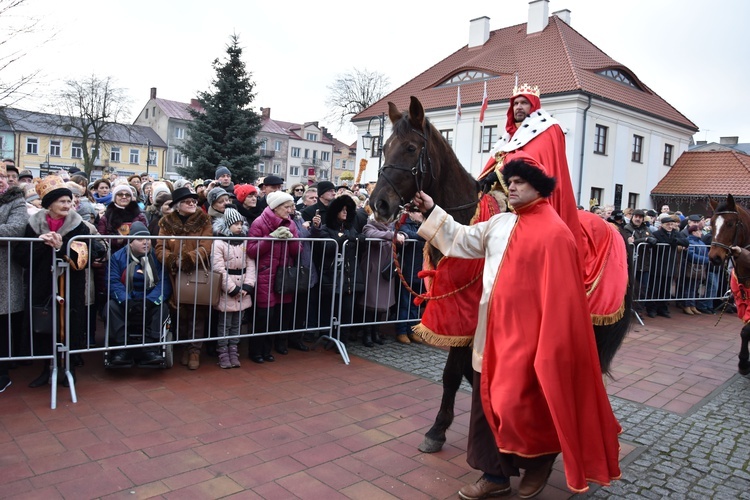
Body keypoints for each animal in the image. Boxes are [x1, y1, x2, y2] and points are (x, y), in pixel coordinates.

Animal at [372, 94, 636, 454]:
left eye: (412, 148)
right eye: (384, 147)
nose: (379, 204)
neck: (469, 218)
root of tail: (619, 231)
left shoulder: (467, 313)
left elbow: (452, 372)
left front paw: (438, 429)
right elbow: (469, 370)